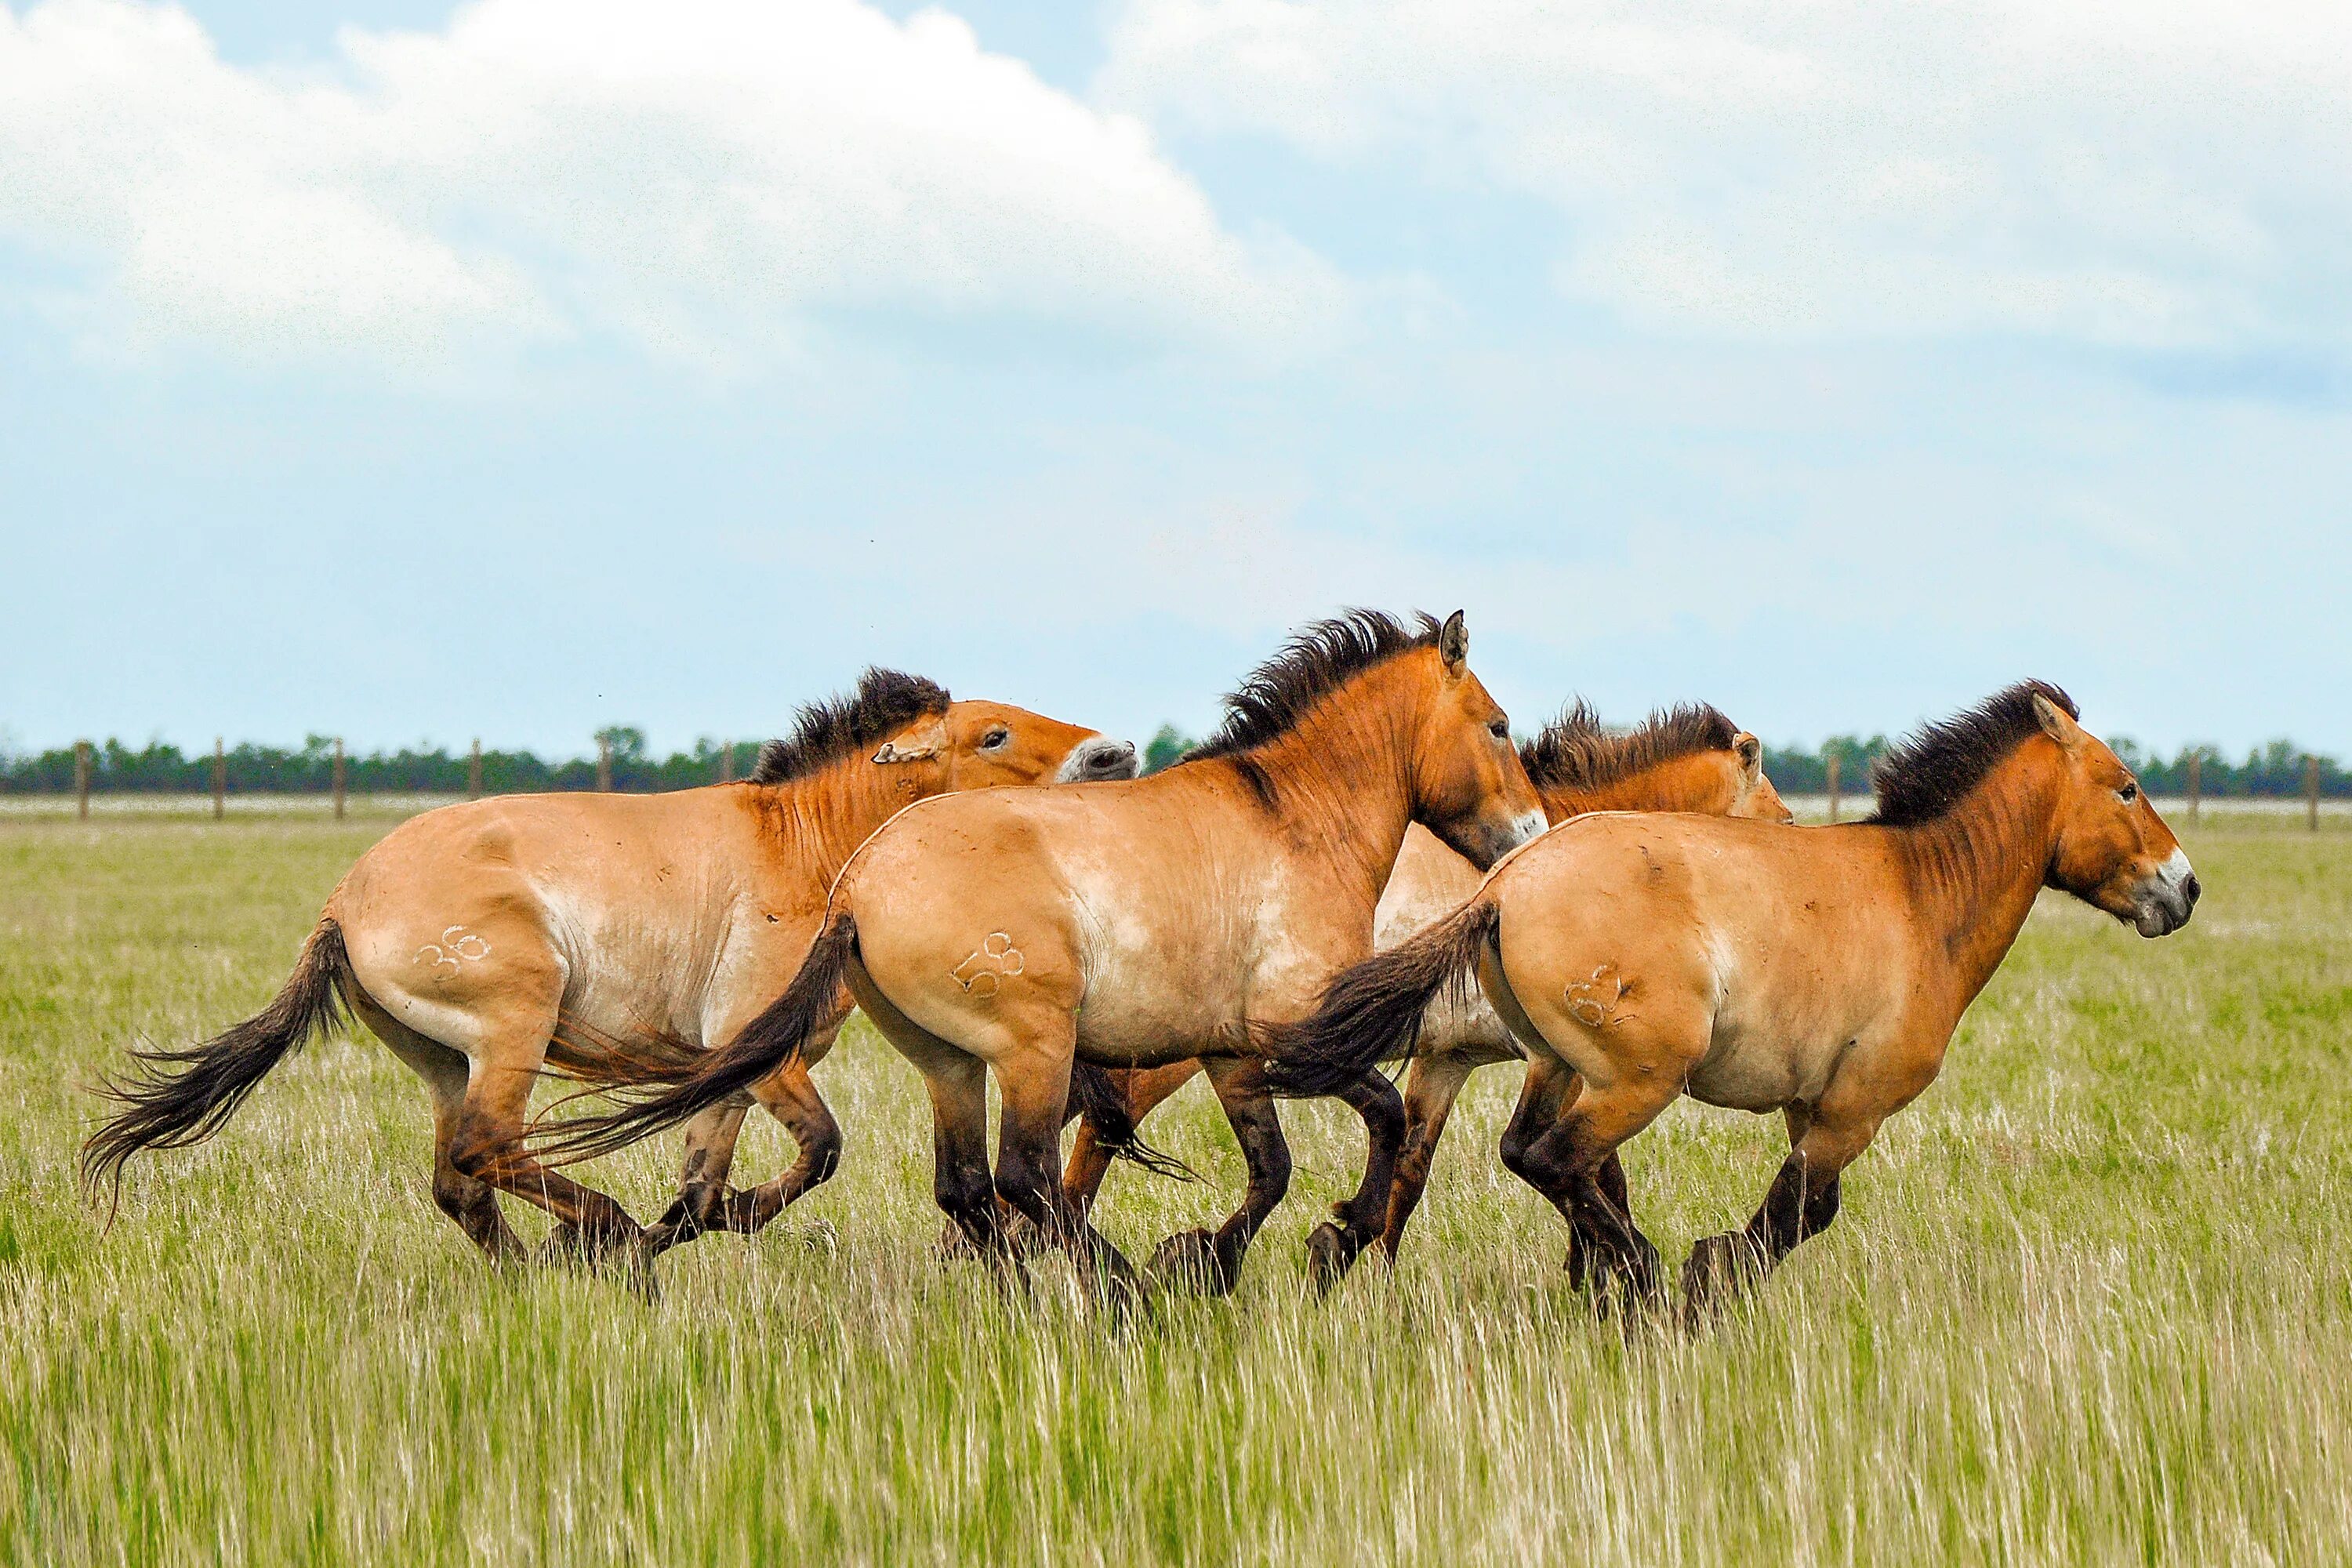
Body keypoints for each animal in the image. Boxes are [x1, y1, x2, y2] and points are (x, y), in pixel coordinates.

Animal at [82, 667, 1129, 1269]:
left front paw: (681, 1234)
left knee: (460, 1182)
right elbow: (819, 1151)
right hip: (512, 1029)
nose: (1114, 754)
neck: (807, 851)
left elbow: (705, 1190)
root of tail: (343, 904)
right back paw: (598, 1230)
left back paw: (545, 1269)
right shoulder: (765, 1056)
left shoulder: (728, 1077)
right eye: (993, 734)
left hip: (445, 1062)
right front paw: (660, 1236)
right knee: (488, 1149)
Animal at [541, 606, 1552, 1298]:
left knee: (966, 1186)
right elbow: (1385, 1117)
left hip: (949, 1063)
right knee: (1023, 1177)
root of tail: (859, 885)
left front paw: (1219, 1257)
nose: (1532, 838)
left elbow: (1273, 1169)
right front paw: (1330, 1241)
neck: (1292, 820)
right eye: (1499, 725)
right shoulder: (1294, 1031)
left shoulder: (1231, 1051)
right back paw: (1120, 1291)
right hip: (1035, 1048)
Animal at [1058, 700, 1788, 1288]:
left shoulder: (1449, 1059)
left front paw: (1362, 1265)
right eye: (1780, 818)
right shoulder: (1570, 1066)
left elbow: (1410, 1170)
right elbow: (1599, 1169)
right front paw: (1602, 1272)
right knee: (1094, 1139)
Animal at [1270, 686, 2201, 1326]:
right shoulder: (1853, 1110)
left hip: (1562, 1067)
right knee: (1556, 1157)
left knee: (1526, 1152)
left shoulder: (1811, 1105)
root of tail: (1503, 885)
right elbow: (1800, 1210)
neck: (1920, 896)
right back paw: (1645, 1280)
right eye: (2126, 787)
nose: (2184, 888)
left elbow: (1808, 1208)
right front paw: (1706, 1280)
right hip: (1637, 1079)